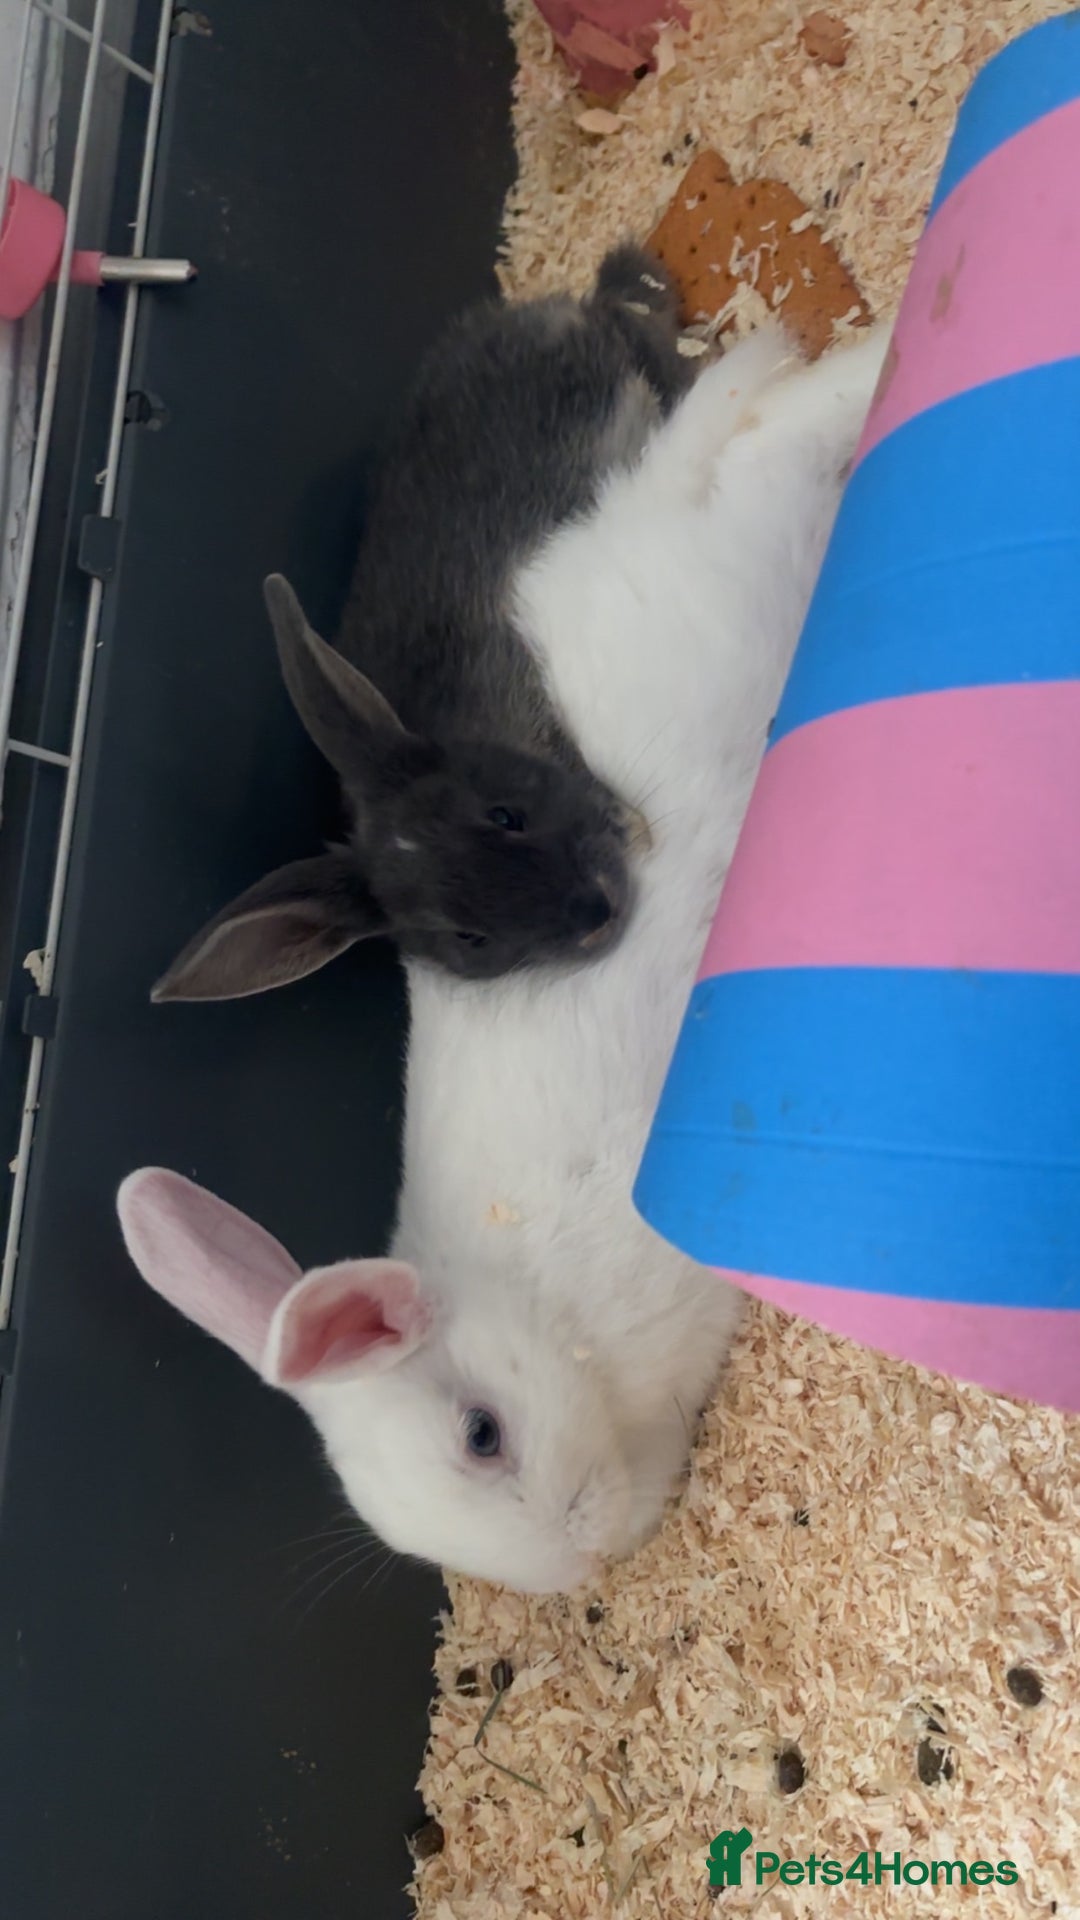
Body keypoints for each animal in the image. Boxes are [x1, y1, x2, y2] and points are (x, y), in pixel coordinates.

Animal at [151, 246, 697, 1005]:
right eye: (470, 938)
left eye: (504, 814)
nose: (596, 912)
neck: (469, 732)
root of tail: (561, 311)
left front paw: (635, 826)